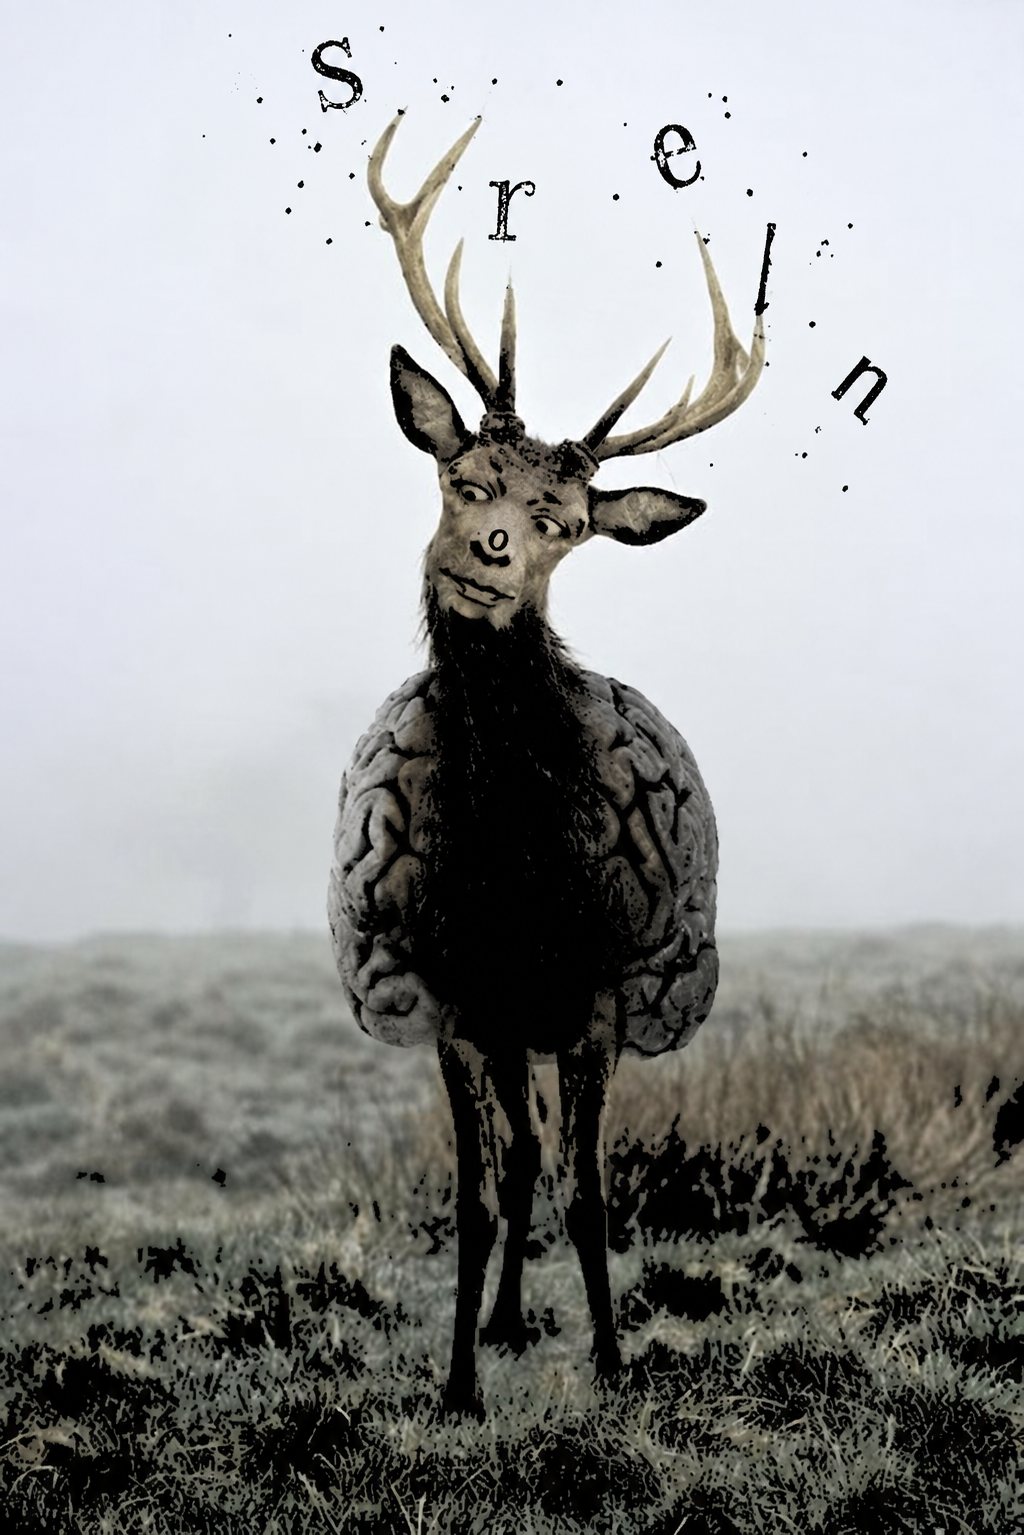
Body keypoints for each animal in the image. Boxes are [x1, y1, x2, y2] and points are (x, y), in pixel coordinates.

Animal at [328, 112, 764, 1419]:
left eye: (569, 527)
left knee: (545, 1161)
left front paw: (615, 1368)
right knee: (514, 1157)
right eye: (463, 475)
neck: (514, 883)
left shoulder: (596, 994)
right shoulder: (454, 998)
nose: (489, 550)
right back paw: (507, 1322)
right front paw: (457, 1385)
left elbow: (588, 1187)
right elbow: (476, 1198)